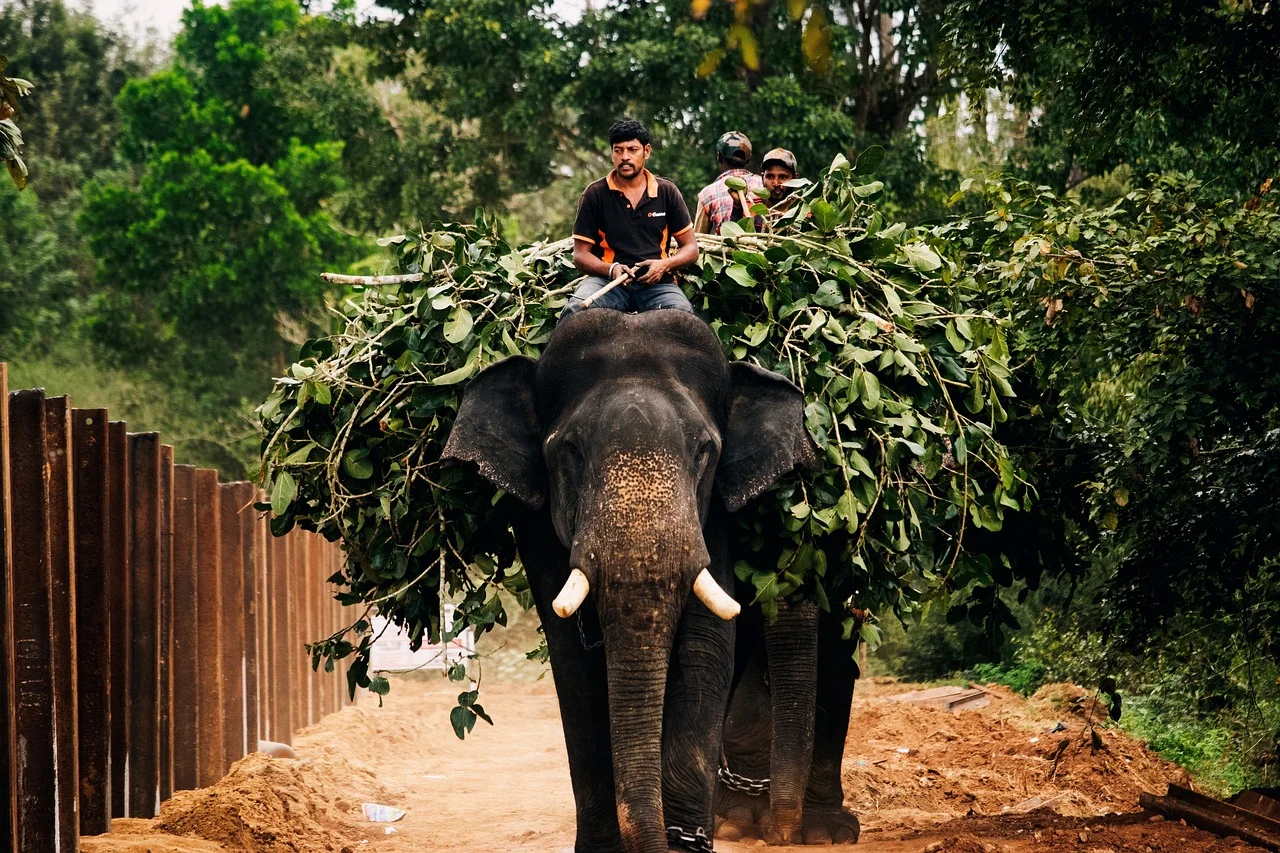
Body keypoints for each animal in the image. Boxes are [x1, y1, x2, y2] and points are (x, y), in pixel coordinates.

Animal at [441, 307, 817, 853]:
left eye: (705, 451)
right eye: (570, 451)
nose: (780, 837)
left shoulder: (715, 516)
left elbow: (706, 647)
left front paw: (685, 844)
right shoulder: (535, 522)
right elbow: (573, 665)